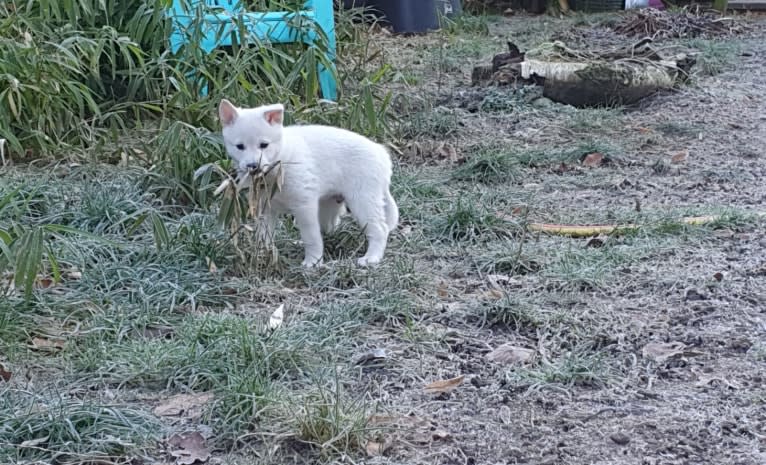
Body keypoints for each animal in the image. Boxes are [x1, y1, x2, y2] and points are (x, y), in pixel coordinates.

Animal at [219, 99, 400, 266]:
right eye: (240, 146)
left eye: (264, 145)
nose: (253, 166)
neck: (281, 162)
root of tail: (382, 153)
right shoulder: (265, 208)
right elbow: (264, 235)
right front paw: (263, 255)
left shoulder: (304, 205)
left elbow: (311, 236)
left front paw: (313, 262)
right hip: (329, 206)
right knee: (329, 228)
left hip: (363, 200)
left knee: (380, 229)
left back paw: (371, 258)